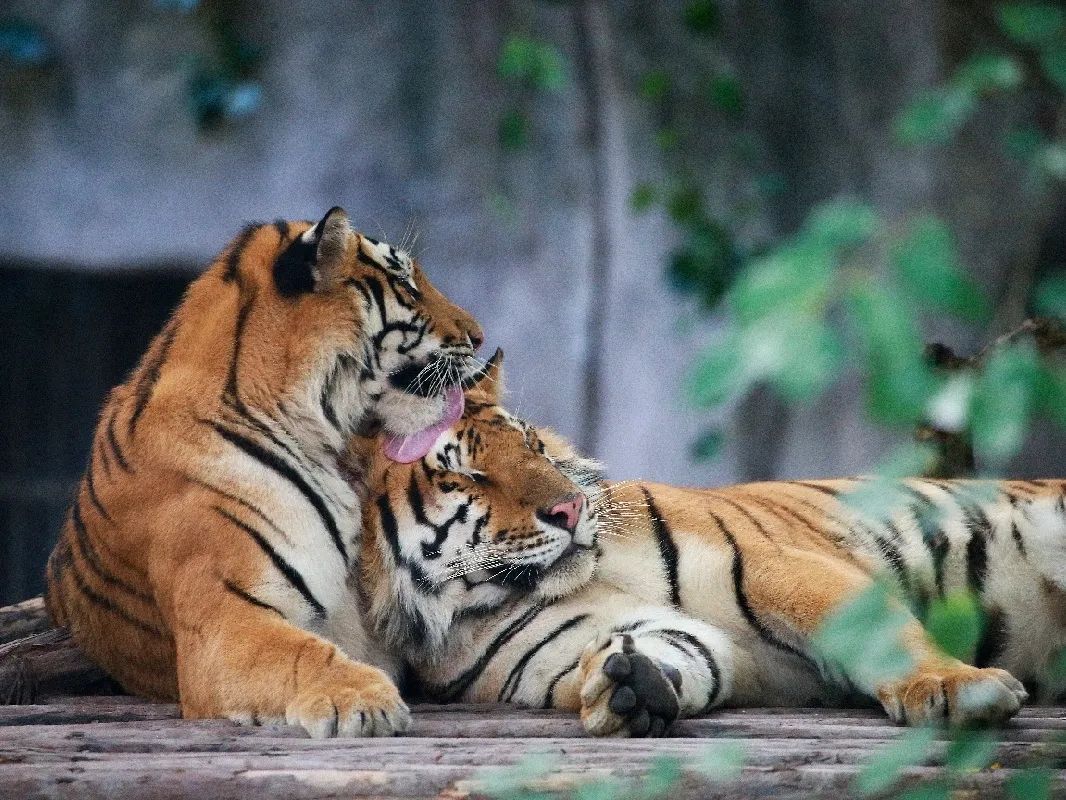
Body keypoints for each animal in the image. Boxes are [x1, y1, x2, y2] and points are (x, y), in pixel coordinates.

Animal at [350, 350, 1065, 737]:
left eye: (532, 446)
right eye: (465, 474)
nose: (571, 507)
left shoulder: (776, 563)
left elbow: (880, 632)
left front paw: (955, 688)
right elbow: (679, 647)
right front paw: (626, 687)